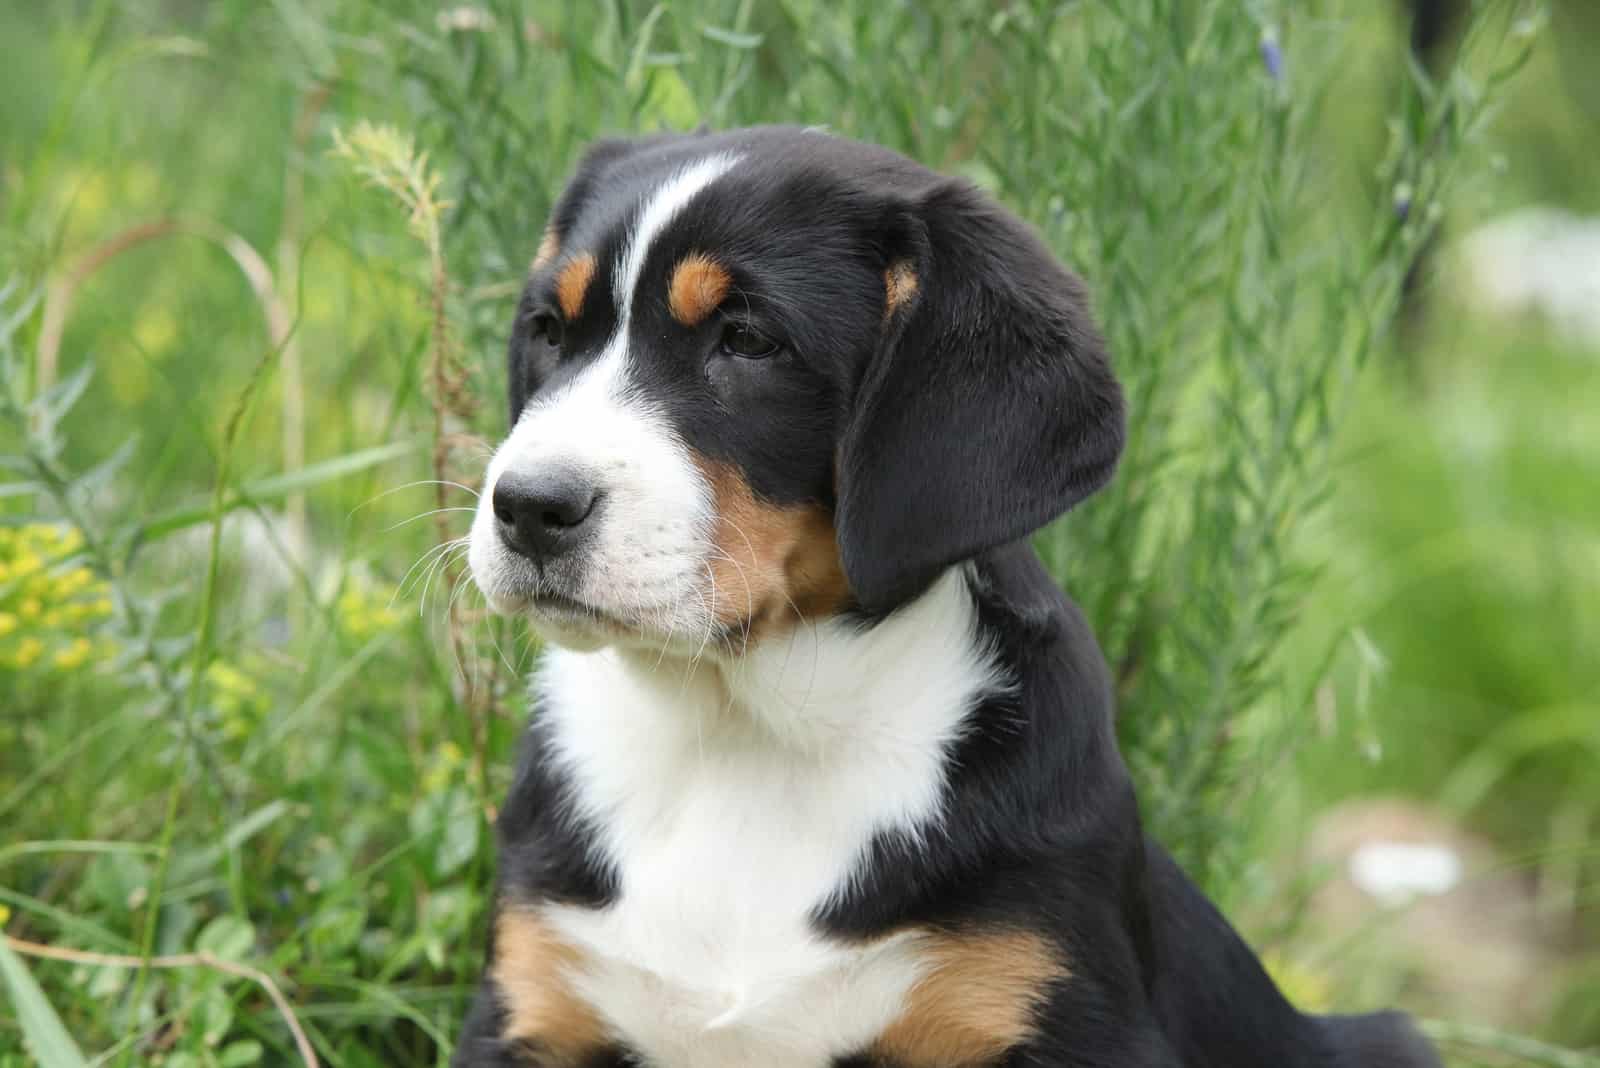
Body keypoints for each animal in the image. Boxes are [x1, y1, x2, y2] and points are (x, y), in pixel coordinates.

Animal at [454, 127, 1440, 1068]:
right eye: (550, 331)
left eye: (749, 340)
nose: (529, 506)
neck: (748, 737)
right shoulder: (532, 1003)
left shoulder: (1056, 1007)